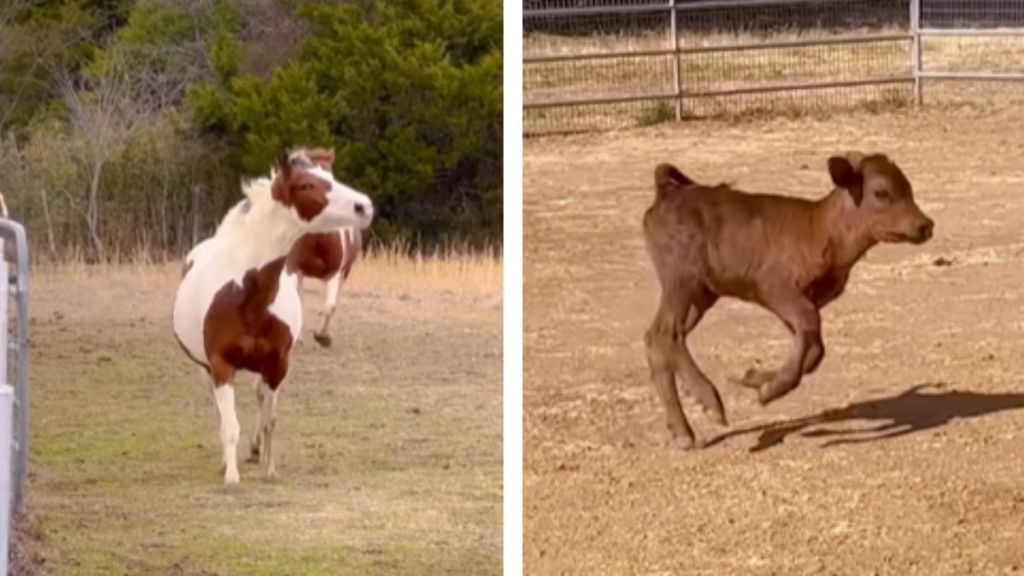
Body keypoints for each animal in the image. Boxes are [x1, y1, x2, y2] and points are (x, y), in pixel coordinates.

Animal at [172, 152, 372, 483]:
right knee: (220, 413)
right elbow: (230, 424)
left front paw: (269, 469)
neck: (247, 296)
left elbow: (270, 419)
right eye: (306, 184)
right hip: (205, 370)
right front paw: (231, 476)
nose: (364, 206)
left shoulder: (277, 366)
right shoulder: (221, 366)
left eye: (330, 175)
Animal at [643, 150, 933, 446]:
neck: (820, 229)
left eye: (909, 188)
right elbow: (811, 339)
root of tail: (667, 194)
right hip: (682, 282)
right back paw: (708, 405)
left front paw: (756, 379)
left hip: (701, 294)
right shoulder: (778, 291)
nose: (925, 225)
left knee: (661, 340)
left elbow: (813, 351)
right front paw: (769, 389)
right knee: (664, 335)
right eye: (881, 193)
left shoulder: (798, 305)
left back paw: (683, 429)